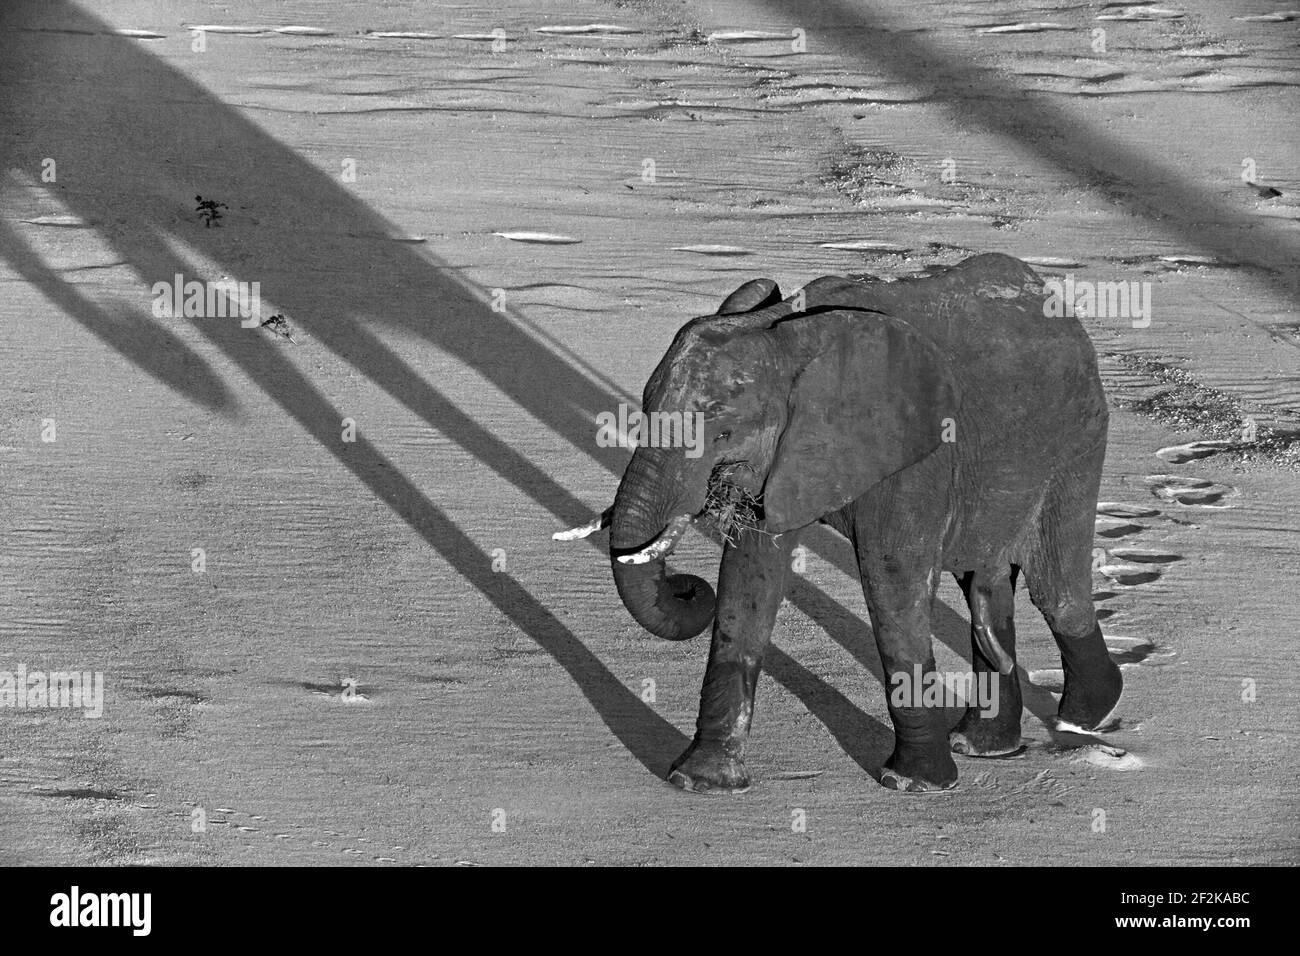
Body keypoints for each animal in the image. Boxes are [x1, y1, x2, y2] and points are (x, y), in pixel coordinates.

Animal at [553, 252, 1123, 790]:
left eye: (721, 433)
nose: (687, 588)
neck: (786, 332)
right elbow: (748, 574)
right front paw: (698, 781)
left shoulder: (918, 451)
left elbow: (892, 578)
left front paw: (913, 783)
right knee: (985, 584)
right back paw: (984, 745)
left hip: (1079, 440)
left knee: (1055, 588)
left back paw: (1084, 717)